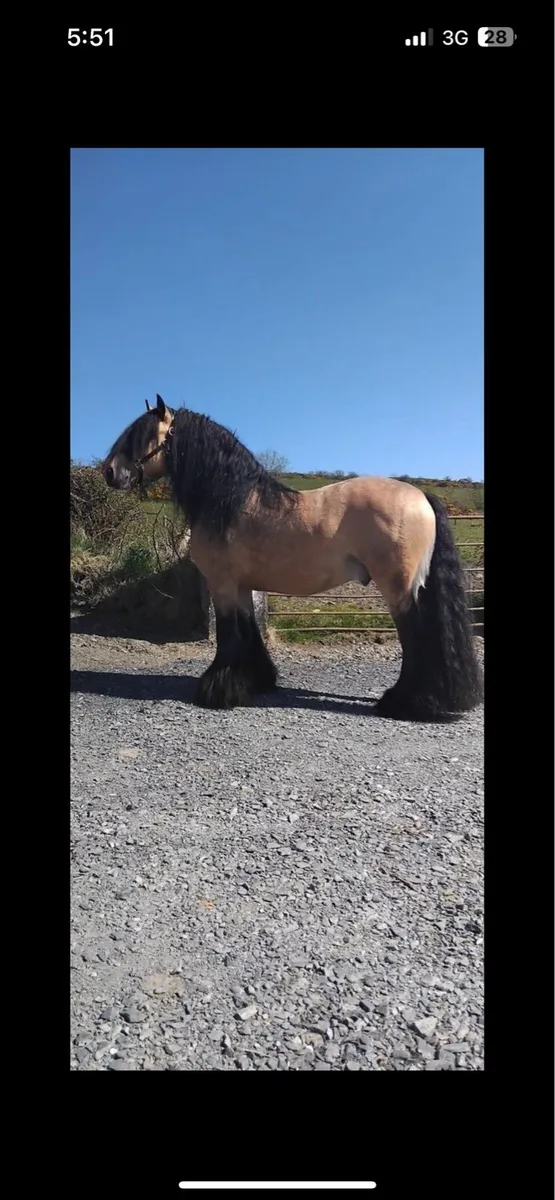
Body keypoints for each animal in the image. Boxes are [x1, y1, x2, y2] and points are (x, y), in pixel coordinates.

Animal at [102, 395, 483, 720]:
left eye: (140, 435)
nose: (109, 472)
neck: (231, 501)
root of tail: (420, 496)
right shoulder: (242, 587)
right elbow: (248, 631)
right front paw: (256, 681)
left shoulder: (222, 585)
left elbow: (227, 635)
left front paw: (217, 690)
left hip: (399, 588)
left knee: (416, 637)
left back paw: (406, 702)